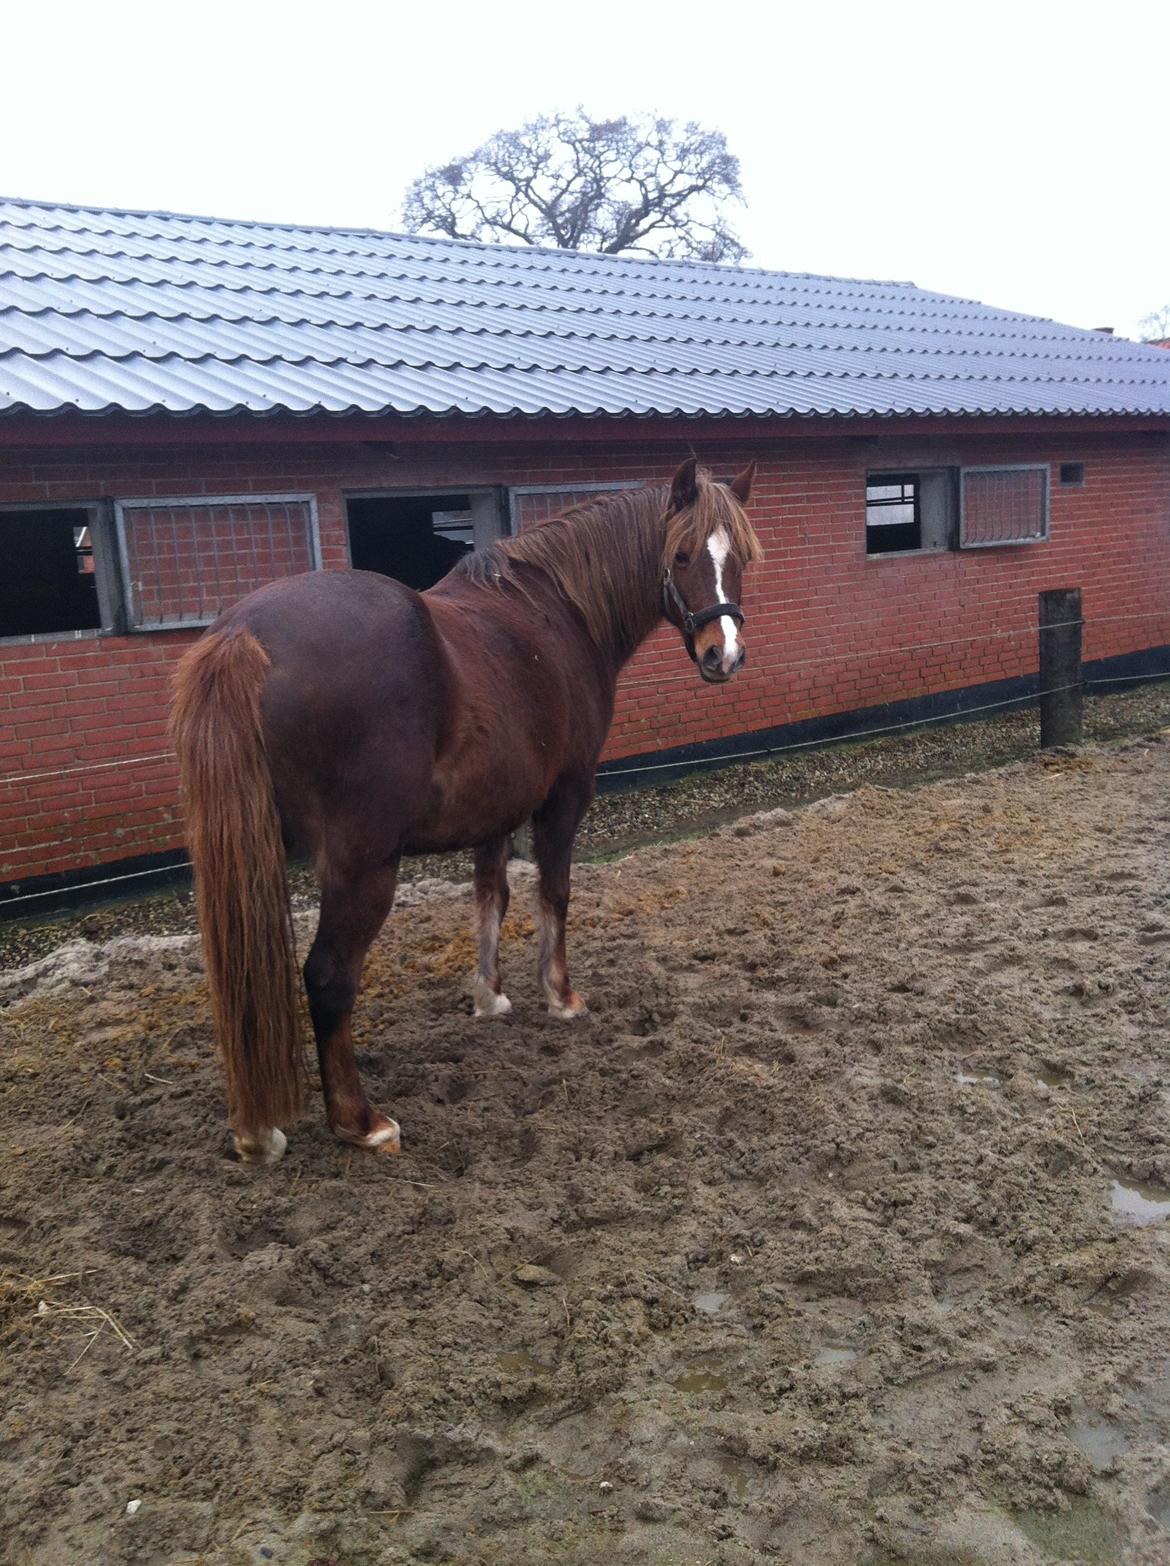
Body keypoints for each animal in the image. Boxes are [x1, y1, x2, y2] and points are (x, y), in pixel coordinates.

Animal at [171, 457, 761, 1165]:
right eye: (680, 554)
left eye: (742, 559)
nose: (724, 656)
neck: (558, 612)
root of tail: (243, 636)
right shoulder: (564, 796)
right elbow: (553, 893)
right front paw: (560, 996)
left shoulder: (495, 808)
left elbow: (491, 897)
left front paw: (490, 995)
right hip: (362, 867)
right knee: (329, 977)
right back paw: (360, 1120)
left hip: (250, 863)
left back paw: (256, 1131)